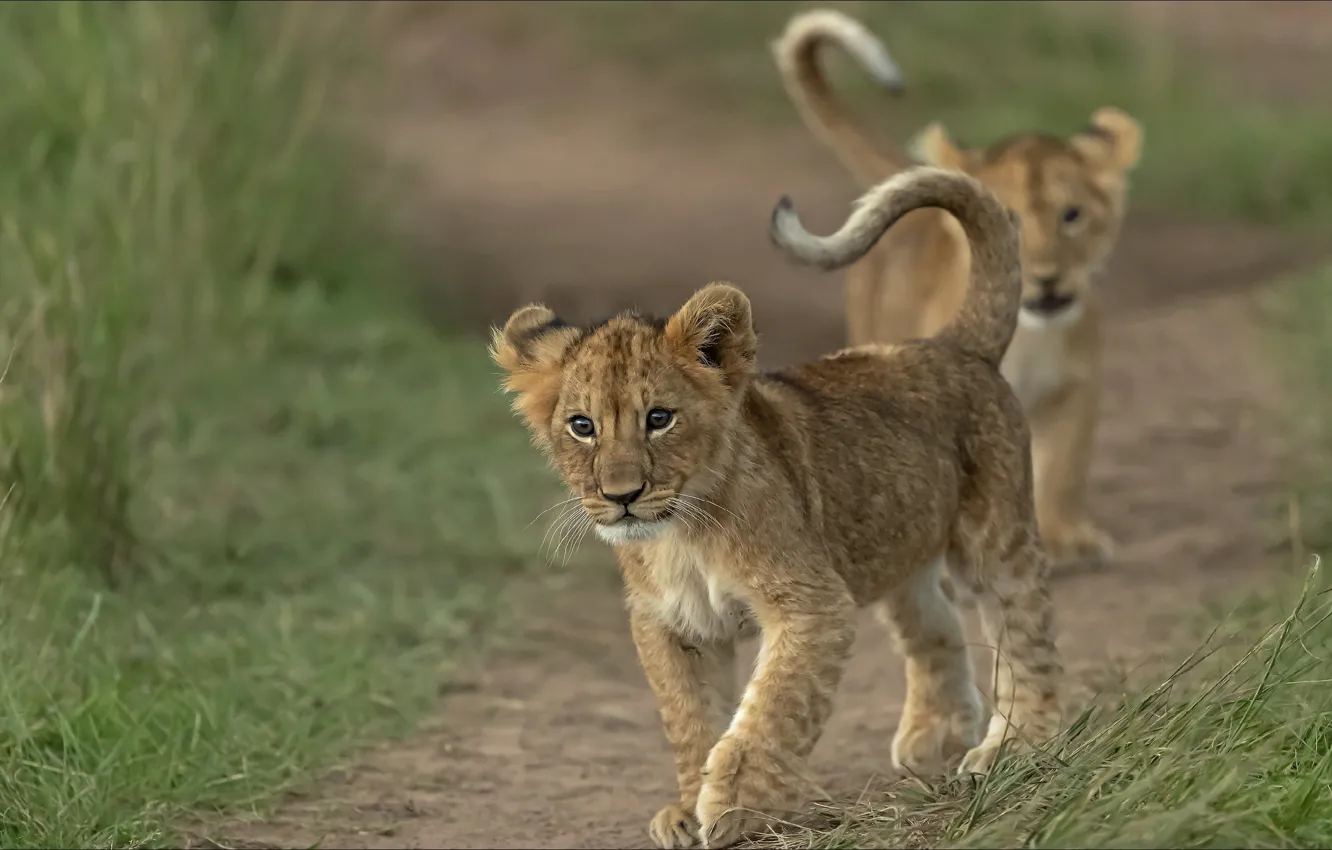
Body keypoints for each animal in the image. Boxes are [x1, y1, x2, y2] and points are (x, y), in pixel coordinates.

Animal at [492, 167, 1063, 849]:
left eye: (659, 419)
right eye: (582, 427)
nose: (621, 496)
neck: (681, 534)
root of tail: (952, 345)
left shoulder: (811, 604)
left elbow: (771, 712)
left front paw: (732, 807)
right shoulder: (669, 622)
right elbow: (689, 717)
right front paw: (685, 808)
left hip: (992, 538)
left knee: (1024, 630)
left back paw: (1019, 747)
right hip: (892, 545)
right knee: (936, 623)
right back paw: (938, 739)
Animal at [774, 8, 1143, 566]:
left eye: (1073, 215)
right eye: (1011, 217)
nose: (1048, 277)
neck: (1032, 336)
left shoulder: (1078, 386)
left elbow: (1065, 467)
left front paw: (1069, 537)